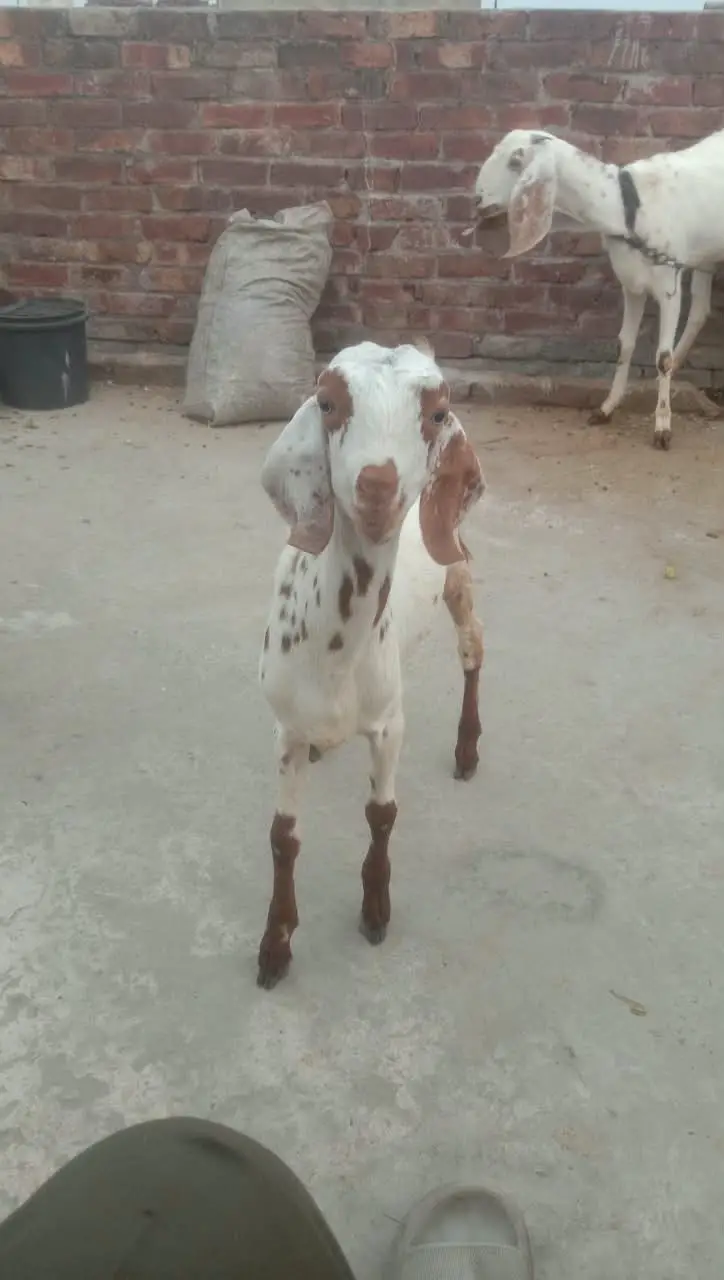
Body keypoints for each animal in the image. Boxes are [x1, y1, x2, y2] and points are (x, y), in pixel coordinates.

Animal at [256, 340, 485, 989]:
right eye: (328, 403)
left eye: (437, 413)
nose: (378, 487)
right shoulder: (284, 728)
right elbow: (283, 837)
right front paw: (275, 945)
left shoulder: (389, 723)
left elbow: (382, 812)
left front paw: (376, 909)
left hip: (459, 570)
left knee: (473, 650)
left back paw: (467, 749)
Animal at [473, 127, 724, 449]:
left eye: (516, 160)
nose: (477, 200)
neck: (626, 208)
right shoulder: (632, 284)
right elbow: (624, 344)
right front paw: (606, 408)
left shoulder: (669, 283)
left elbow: (662, 357)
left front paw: (662, 428)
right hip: (706, 255)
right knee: (701, 311)